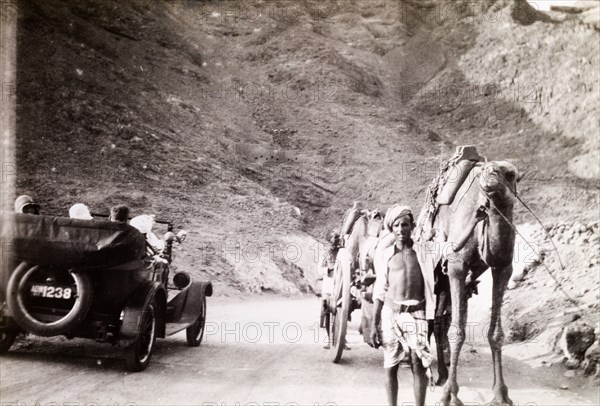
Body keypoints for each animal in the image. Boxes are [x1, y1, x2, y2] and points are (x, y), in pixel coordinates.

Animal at [422, 159, 520, 406]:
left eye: (511, 174)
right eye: (488, 169)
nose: (491, 173)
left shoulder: (503, 267)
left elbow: (496, 334)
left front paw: (501, 393)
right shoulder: (457, 266)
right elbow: (458, 332)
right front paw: (450, 395)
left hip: (445, 281)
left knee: (439, 320)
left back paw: (442, 374)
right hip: (437, 274)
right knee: (436, 320)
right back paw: (437, 377)